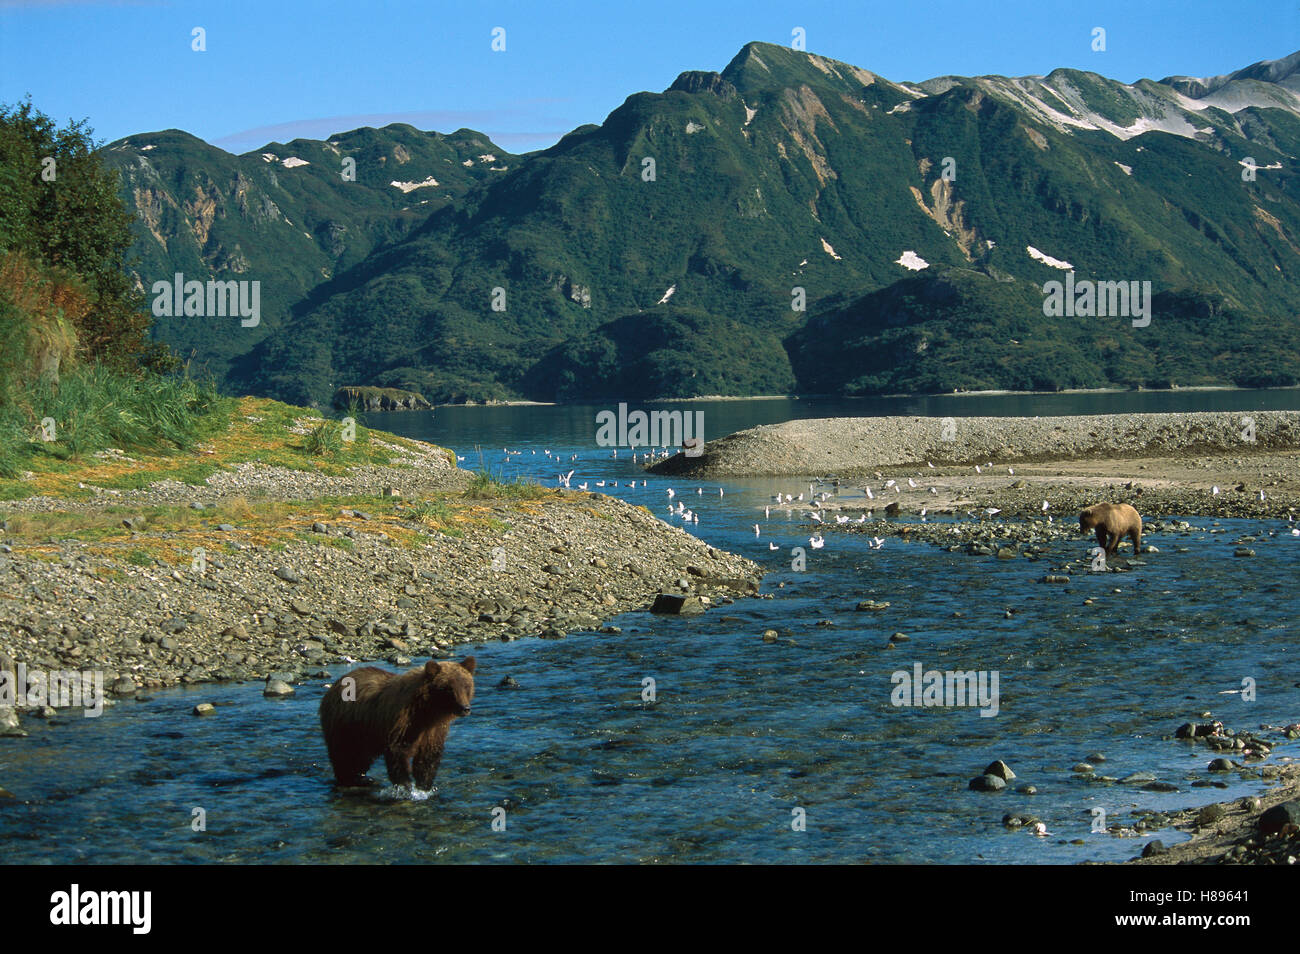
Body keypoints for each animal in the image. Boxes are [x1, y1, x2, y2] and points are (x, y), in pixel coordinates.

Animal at [319, 657, 476, 790]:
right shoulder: (402, 723)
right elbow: (398, 752)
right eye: (449, 688)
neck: (427, 710)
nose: (465, 708)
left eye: (466, 686)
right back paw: (350, 779)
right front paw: (406, 786)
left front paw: (423, 786)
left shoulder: (433, 730)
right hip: (346, 725)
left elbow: (428, 757)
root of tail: (335, 684)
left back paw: (363, 777)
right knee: (344, 754)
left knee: (362, 757)